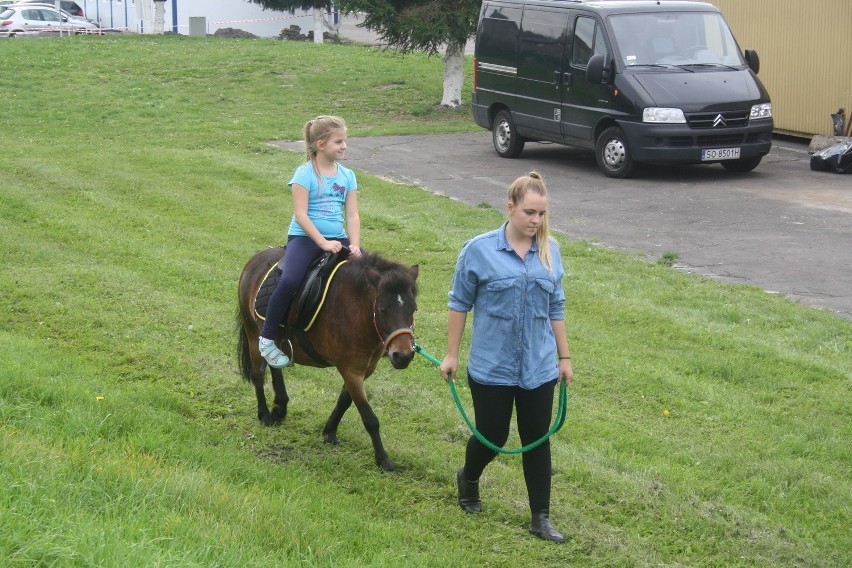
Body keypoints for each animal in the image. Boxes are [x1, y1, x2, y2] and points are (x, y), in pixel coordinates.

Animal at [236, 246, 420, 472]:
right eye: (383, 309)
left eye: (413, 309)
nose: (403, 355)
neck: (356, 310)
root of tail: (256, 258)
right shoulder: (350, 369)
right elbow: (369, 417)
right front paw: (383, 459)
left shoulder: (365, 368)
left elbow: (344, 401)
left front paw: (329, 432)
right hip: (253, 332)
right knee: (257, 374)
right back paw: (264, 414)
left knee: (273, 364)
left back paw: (280, 407)